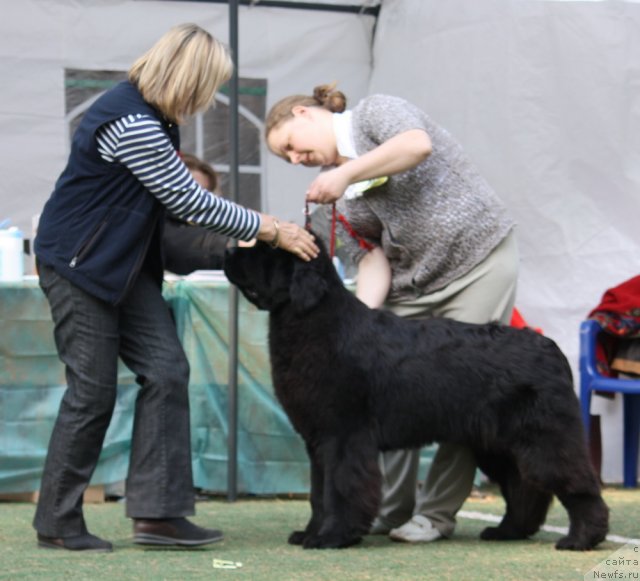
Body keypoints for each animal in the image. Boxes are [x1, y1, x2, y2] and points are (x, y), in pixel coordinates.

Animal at [225, 236, 608, 548]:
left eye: (269, 249)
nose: (228, 249)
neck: (313, 319)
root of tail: (550, 346)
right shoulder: (317, 442)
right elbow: (318, 493)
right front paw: (309, 533)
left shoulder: (343, 438)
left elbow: (339, 490)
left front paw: (332, 537)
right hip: (499, 443)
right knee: (523, 486)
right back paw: (508, 531)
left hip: (545, 436)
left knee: (577, 484)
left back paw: (581, 539)